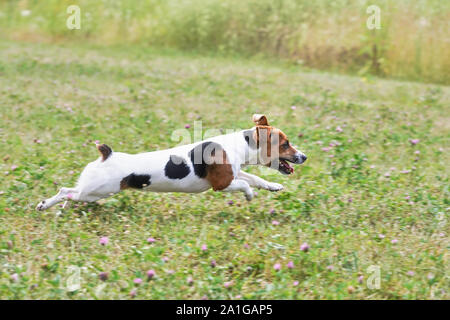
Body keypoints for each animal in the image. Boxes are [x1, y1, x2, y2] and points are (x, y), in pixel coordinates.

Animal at [37, 114, 308, 211]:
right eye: (286, 144)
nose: (304, 157)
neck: (239, 145)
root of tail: (108, 154)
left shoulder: (234, 173)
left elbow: (255, 178)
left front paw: (273, 187)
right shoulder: (222, 184)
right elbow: (245, 185)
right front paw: (250, 196)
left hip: (94, 191)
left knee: (71, 192)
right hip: (99, 190)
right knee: (67, 192)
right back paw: (46, 205)